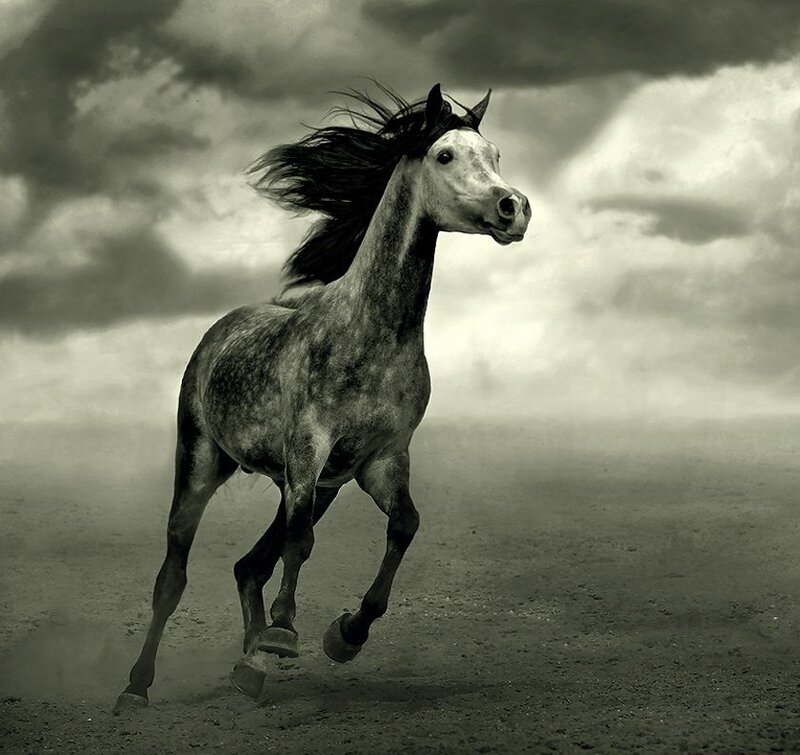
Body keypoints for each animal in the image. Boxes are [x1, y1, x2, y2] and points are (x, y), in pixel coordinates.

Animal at [113, 82, 531, 712]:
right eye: (445, 155)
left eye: (496, 154)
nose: (514, 208)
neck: (369, 333)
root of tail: (218, 332)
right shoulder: (309, 449)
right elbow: (301, 541)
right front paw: (286, 632)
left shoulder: (381, 460)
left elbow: (404, 525)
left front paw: (346, 635)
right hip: (204, 464)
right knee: (174, 576)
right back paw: (137, 688)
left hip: (314, 485)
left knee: (249, 565)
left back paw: (250, 666)